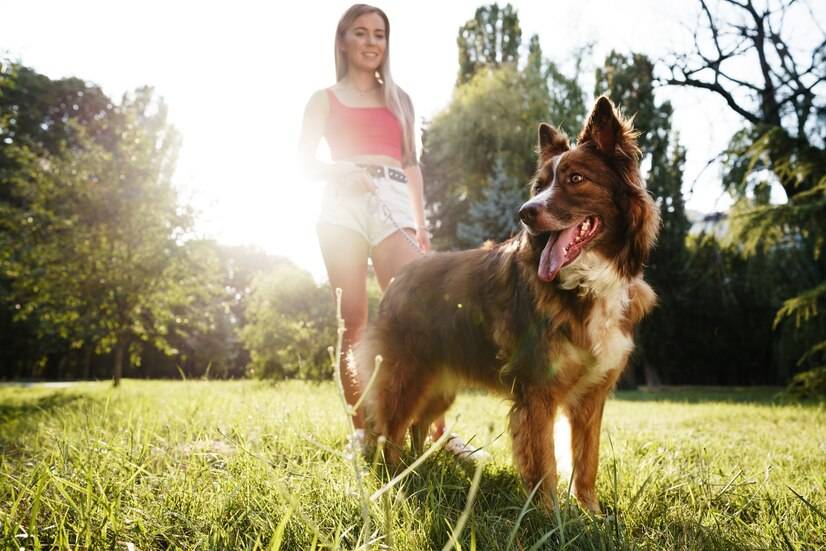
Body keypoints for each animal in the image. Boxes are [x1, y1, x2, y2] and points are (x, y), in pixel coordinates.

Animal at [354, 96, 656, 512]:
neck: (585, 283)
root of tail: (401, 276)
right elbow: (545, 463)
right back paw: (397, 482)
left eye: (576, 179)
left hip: (440, 385)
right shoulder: (537, 391)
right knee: (390, 432)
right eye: (540, 185)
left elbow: (587, 462)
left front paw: (591, 513)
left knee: (418, 425)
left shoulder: (591, 398)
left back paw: (421, 469)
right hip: (406, 377)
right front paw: (550, 516)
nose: (525, 213)